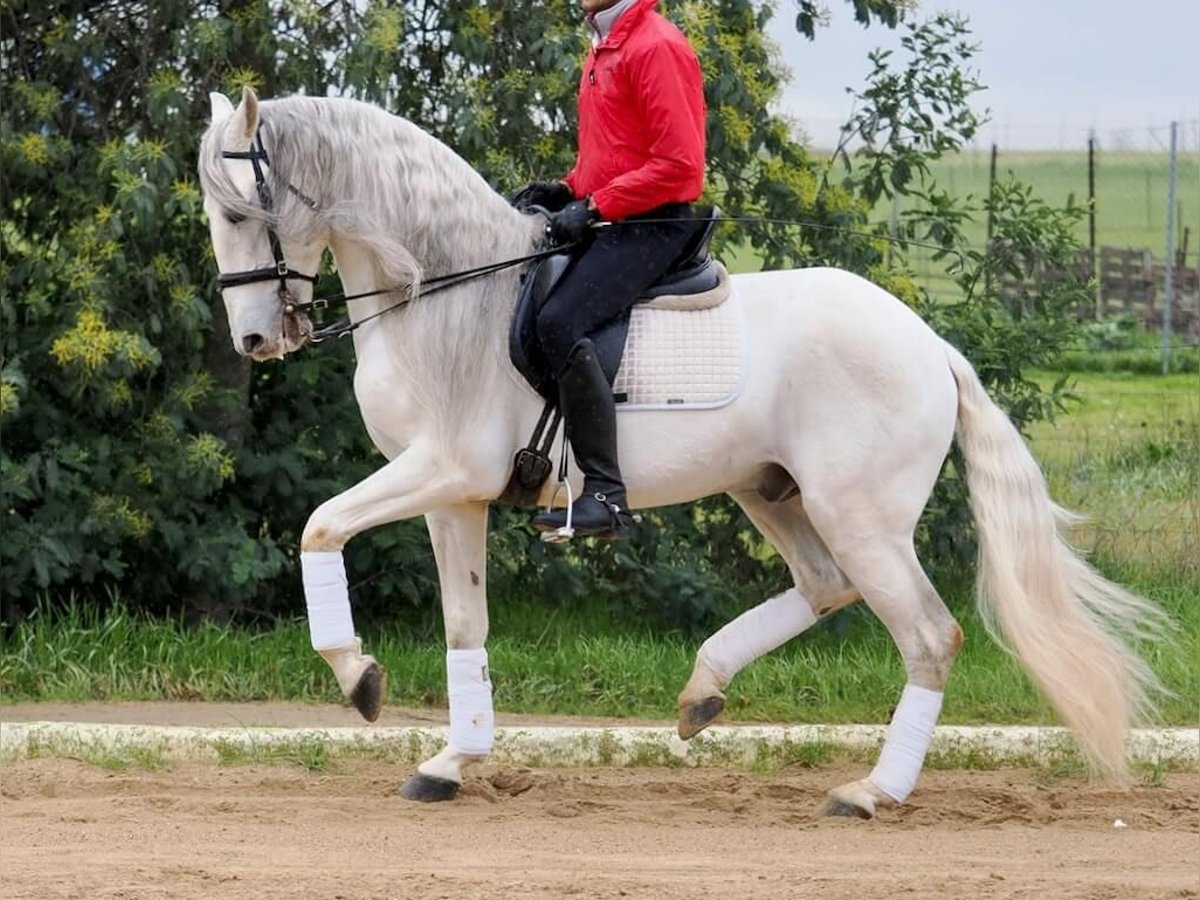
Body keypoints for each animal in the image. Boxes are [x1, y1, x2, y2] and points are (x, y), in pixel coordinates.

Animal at [201, 90, 1166, 816]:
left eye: (245, 210)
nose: (253, 342)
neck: (441, 294)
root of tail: (931, 344)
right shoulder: (453, 496)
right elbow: (465, 623)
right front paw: (452, 761)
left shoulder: (442, 471)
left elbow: (319, 527)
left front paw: (359, 679)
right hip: (772, 493)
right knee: (825, 586)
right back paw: (704, 690)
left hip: (862, 517)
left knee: (929, 635)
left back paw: (872, 791)